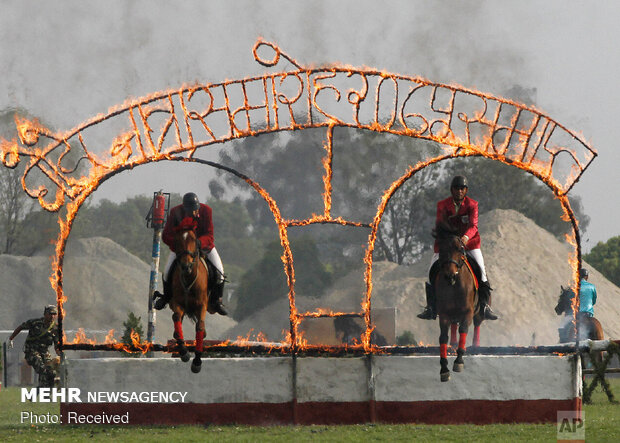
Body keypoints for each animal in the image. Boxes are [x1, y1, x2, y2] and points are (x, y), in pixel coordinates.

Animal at [168, 220, 212, 372]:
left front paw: (197, 361)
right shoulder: (178, 303)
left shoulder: (202, 305)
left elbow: (200, 327)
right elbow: (176, 318)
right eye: (177, 240)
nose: (186, 266)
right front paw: (183, 352)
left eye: (194, 239)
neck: (188, 278)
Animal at [434, 224, 482, 384]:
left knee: (477, 322)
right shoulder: (444, 313)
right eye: (441, 249)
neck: (454, 285)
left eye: (460, 249)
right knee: (454, 326)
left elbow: (464, 330)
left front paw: (459, 361)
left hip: (478, 312)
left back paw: (475, 345)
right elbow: (443, 337)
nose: (450, 275)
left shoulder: (468, 312)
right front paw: (444, 369)